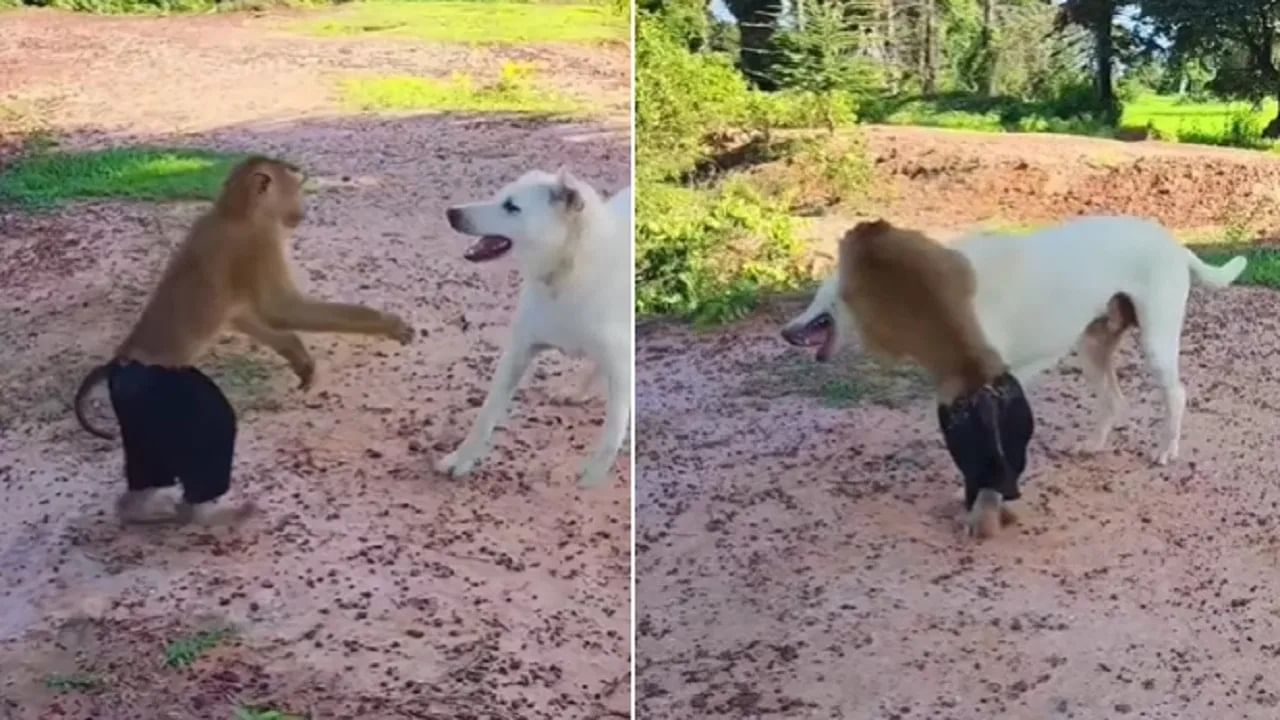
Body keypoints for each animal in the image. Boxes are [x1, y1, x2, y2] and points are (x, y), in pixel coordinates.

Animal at [72, 156, 412, 525]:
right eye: (297, 187)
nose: (302, 210)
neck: (233, 211)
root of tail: (120, 361)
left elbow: (243, 315)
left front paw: (296, 353)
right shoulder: (258, 243)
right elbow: (280, 308)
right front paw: (387, 323)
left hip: (137, 407)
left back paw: (137, 508)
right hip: (163, 392)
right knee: (212, 423)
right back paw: (200, 511)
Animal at [435, 166, 629, 486]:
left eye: (512, 207)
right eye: (499, 196)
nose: (451, 213)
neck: (564, 273)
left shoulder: (622, 368)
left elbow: (612, 434)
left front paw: (592, 475)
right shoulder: (519, 350)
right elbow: (485, 414)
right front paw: (462, 458)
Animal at [783, 212, 1244, 461]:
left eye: (821, 297)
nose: (785, 332)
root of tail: (1173, 243)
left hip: (1156, 345)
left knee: (1177, 394)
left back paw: (1167, 449)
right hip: (1092, 348)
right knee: (1115, 401)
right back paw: (1093, 445)